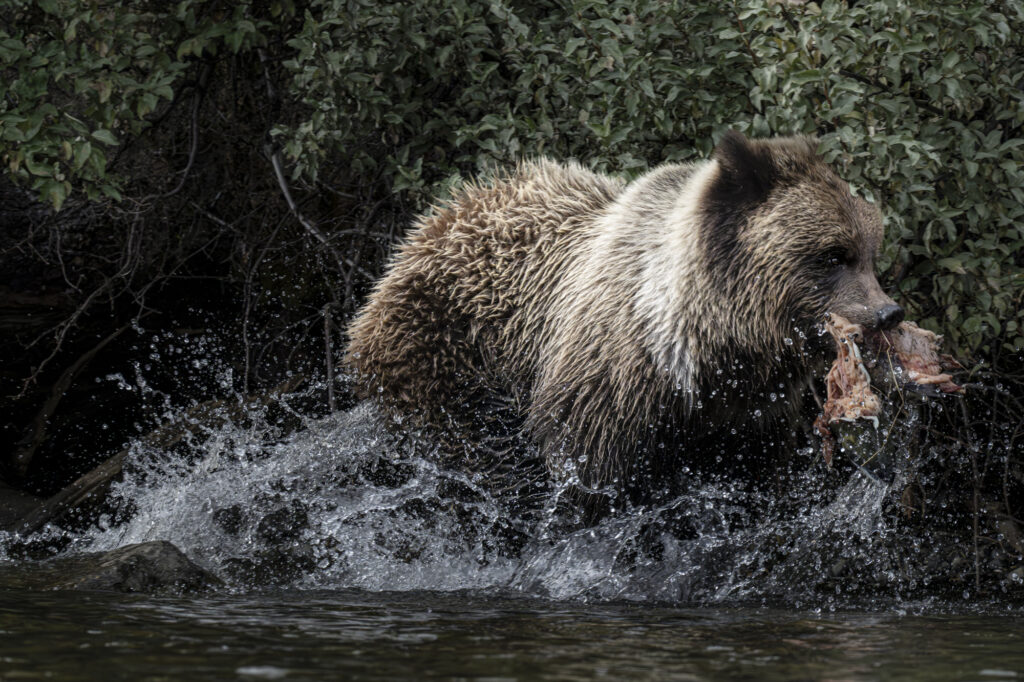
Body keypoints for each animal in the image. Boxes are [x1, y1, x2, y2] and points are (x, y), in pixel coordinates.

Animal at [344, 131, 904, 518]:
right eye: (832, 255)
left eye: (871, 252)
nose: (887, 313)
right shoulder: (605, 394)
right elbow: (587, 481)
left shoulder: (746, 417)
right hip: (444, 359)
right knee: (475, 458)